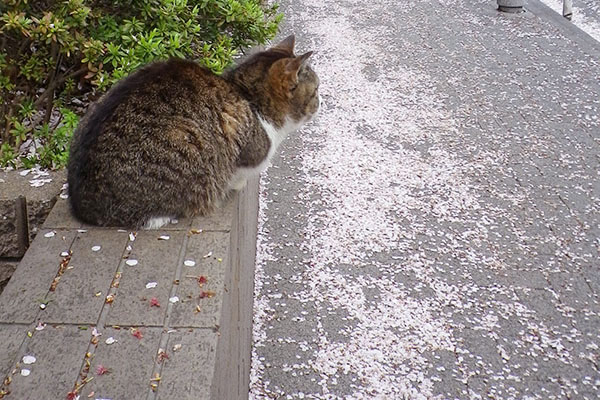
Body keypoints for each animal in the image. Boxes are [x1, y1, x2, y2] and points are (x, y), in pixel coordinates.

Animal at [67, 35, 318, 228]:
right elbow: (238, 171)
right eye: (316, 91)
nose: (322, 101)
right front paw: (237, 184)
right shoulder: (249, 153)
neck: (249, 97)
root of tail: (84, 205)